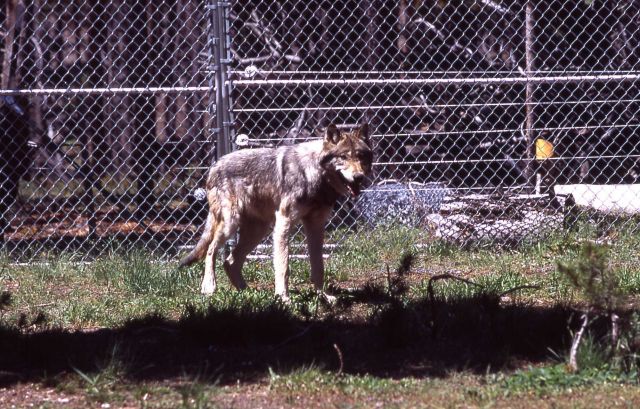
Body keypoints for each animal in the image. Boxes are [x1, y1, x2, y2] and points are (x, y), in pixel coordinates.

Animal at [179, 123, 373, 301]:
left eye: (361, 157)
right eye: (343, 157)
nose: (359, 177)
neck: (313, 174)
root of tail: (214, 165)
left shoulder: (316, 226)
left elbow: (318, 266)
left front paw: (323, 296)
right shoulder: (284, 222)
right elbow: (283, 266)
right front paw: (283, 298)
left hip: (258, 231)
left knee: (230, 261)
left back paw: (247, 292)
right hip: (231, 225)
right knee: (211, 250)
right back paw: (209, 287)